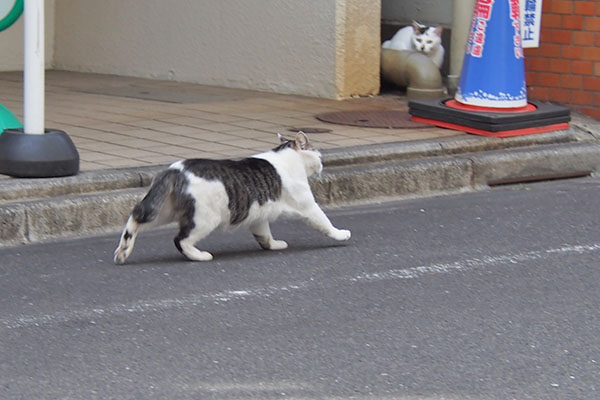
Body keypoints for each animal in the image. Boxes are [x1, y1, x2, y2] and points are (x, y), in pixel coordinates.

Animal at [113, 131, 352, 264]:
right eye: (318, 153)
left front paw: (273, 245)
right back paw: (200, 256)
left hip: (163, 211)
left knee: (135, 218)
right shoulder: (307, 205)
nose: (322, 163)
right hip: (203, 218)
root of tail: (175, 170)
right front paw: (341, 234)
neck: (286, 155)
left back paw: (123, 252)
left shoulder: (258, 215)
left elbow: (264, 235)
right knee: (180, 239)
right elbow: (324, 221)